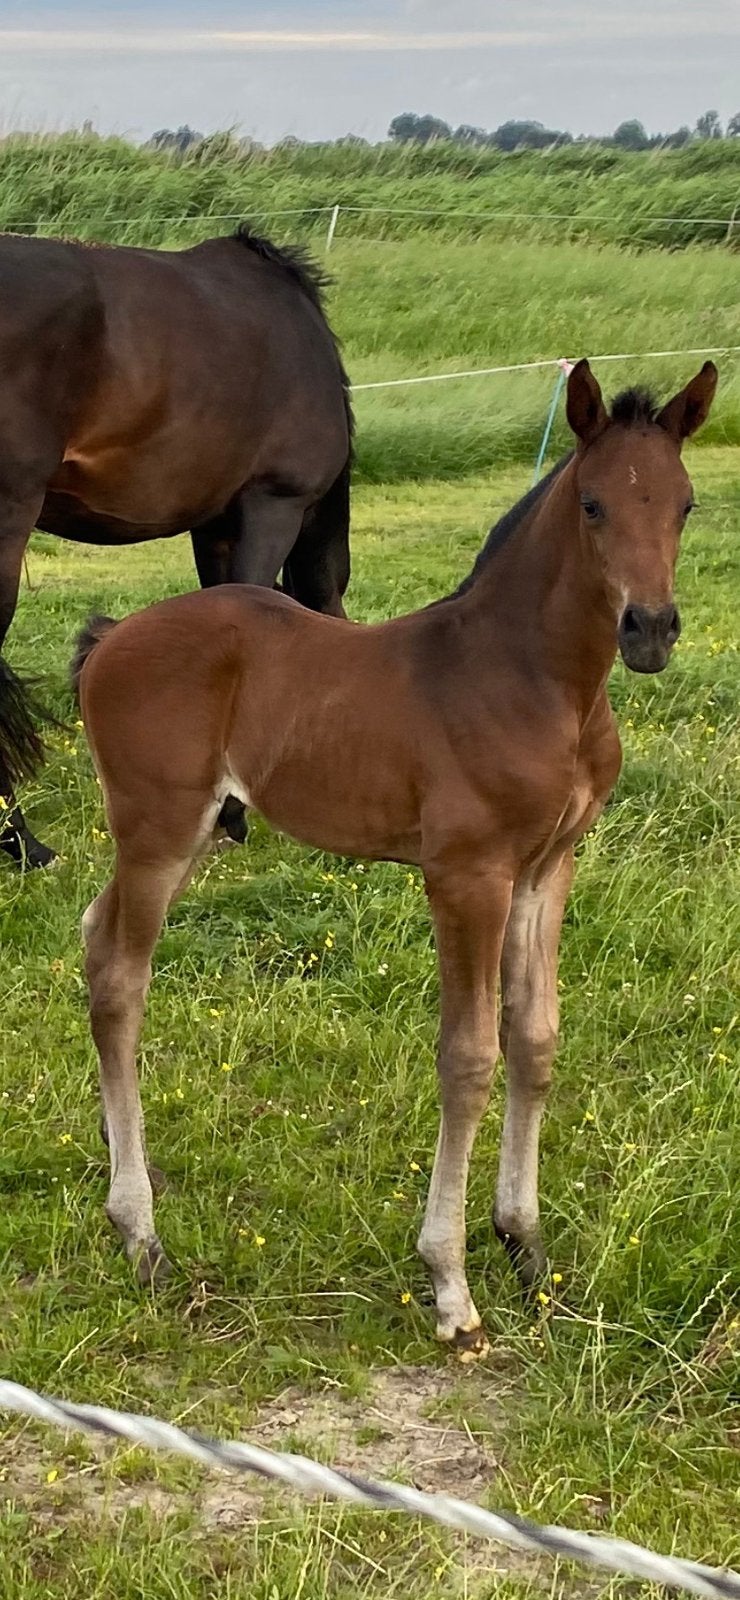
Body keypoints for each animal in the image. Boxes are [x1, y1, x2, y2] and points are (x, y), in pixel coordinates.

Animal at [72, 358, 717, 1354]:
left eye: (685, 503)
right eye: (595, 505)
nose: (650, 629)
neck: (540, 682)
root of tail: (114, 637)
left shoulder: (548, 869)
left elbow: (535, 1039)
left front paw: (526, 1246)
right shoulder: (467, 876)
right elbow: (469, 1058)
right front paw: (450, 1283)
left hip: (188, 834)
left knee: (93, 934)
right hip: (157, 829)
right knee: (120, 982)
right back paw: (141, 1233)